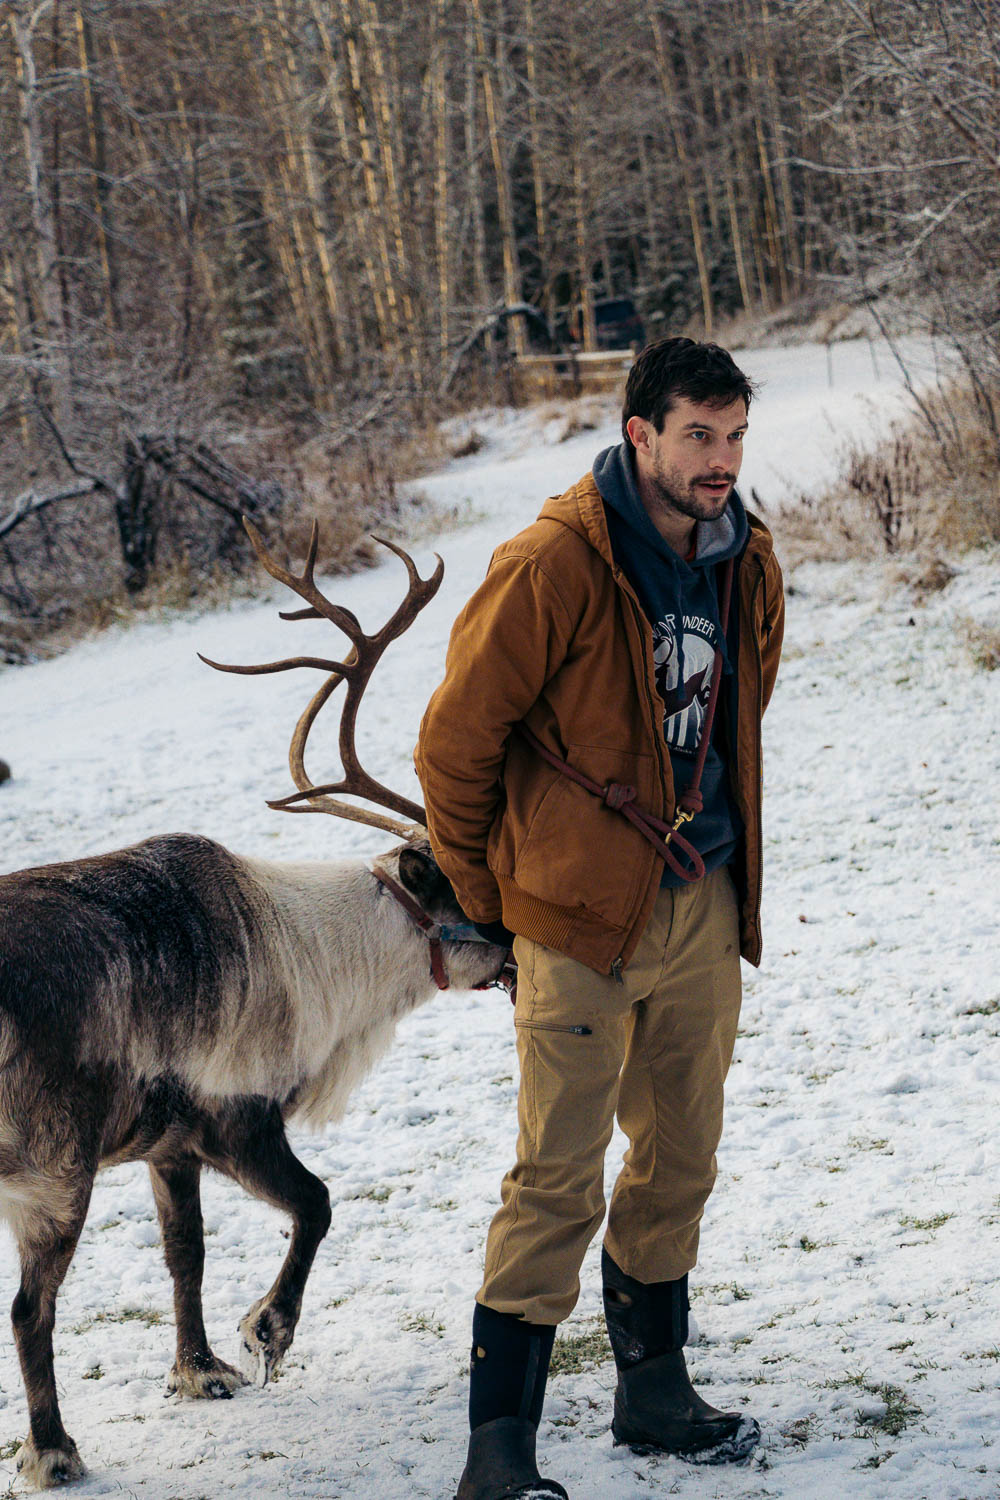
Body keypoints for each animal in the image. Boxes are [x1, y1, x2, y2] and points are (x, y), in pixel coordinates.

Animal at [0, 523, 510, 1489]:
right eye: (482, 887)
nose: (526, 955)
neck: (314, 953)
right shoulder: (237, 1117)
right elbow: (317, 1204)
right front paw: (268, 1330)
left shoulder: (167, 1147)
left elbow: (185, 1254)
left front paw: (198, 1370)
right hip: (54, 1171)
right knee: (28, 1308)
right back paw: (53, 1451)